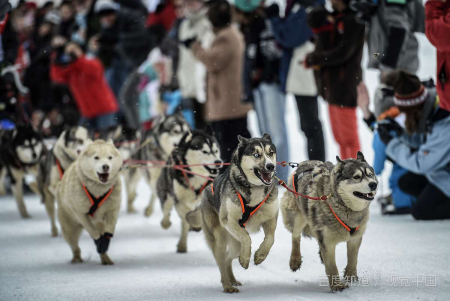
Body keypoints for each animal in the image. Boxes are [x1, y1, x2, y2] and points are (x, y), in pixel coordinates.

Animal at [186, 134, 278, 292]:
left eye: (270, 152)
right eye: (256, 154)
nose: (270, 166)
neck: (255, 188)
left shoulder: (271, 218)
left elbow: (270, 239)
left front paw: (260, 255)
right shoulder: (229, 220)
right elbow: (247, 238)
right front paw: (246, 259)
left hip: (235, 244)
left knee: (229, 258)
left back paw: (233, 279)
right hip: (220, 240)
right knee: (222, 261)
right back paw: (228, 285)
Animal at [282, 152, 376, 290]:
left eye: (370, 174)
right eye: (356, 177)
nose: (374, 184)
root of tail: (305, 163)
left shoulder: (355, 238)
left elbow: (353, 258)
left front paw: (351, 276)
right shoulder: (328, 242)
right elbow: (331, 266)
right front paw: (337, 286)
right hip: (300, 216)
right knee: (295, 235)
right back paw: (295, 259)